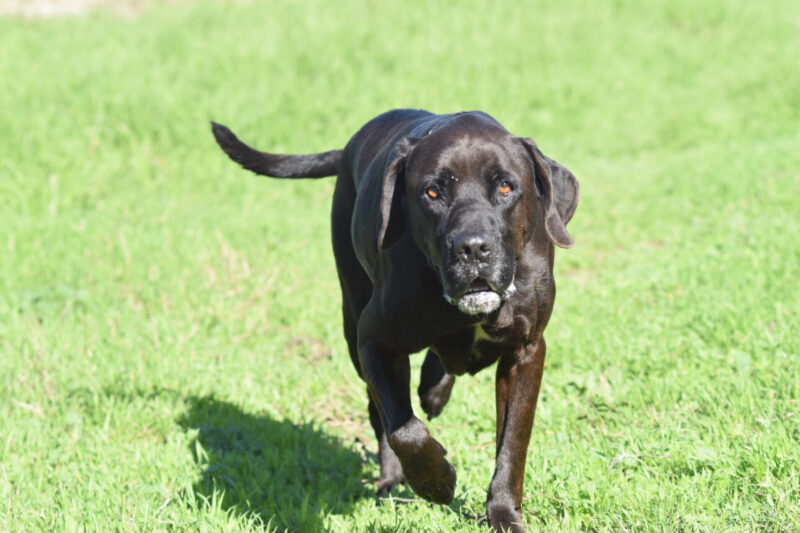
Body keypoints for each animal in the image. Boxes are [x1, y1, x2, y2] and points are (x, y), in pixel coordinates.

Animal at [211, 109, 579, 532]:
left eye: (506, 187)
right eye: (432, 192)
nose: (472, 248)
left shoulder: (526, 351)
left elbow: (513, 442)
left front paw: (503, 514)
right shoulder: (375, 343)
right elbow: (403, 429)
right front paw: (436, 481)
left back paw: (435, 387)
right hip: (353, 321)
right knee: (381, 415)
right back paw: (392, 479)